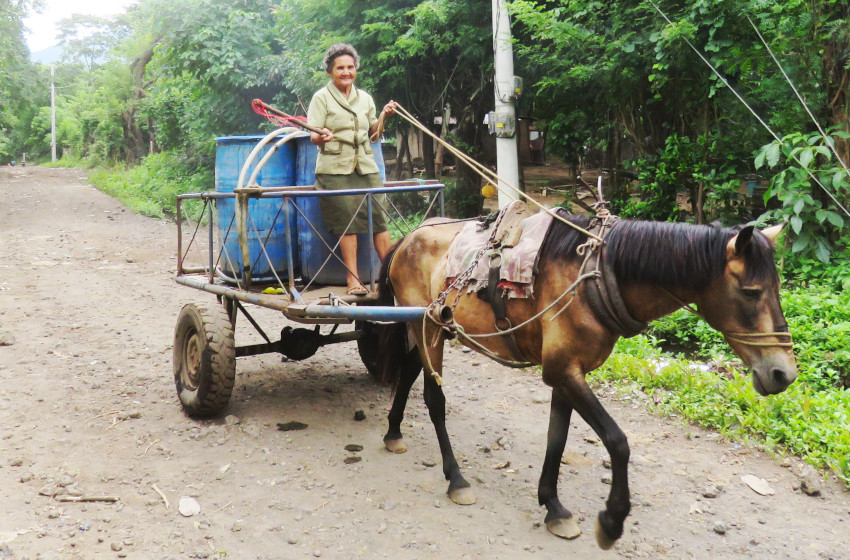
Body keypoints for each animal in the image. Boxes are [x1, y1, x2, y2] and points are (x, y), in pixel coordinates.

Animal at [374, 210, 792, 548]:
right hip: (428, 327)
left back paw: (393, 431)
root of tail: (408, 238)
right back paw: (456, 478)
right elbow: (617, 441)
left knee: (408, 374)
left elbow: (557, 438)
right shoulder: (562, 370)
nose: (784, 372)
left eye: (778, 287)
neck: (597, 276)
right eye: (751, 292)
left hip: (430, 327)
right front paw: (611, 520)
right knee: (434, 399)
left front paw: (553, 506)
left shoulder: (567, 371)